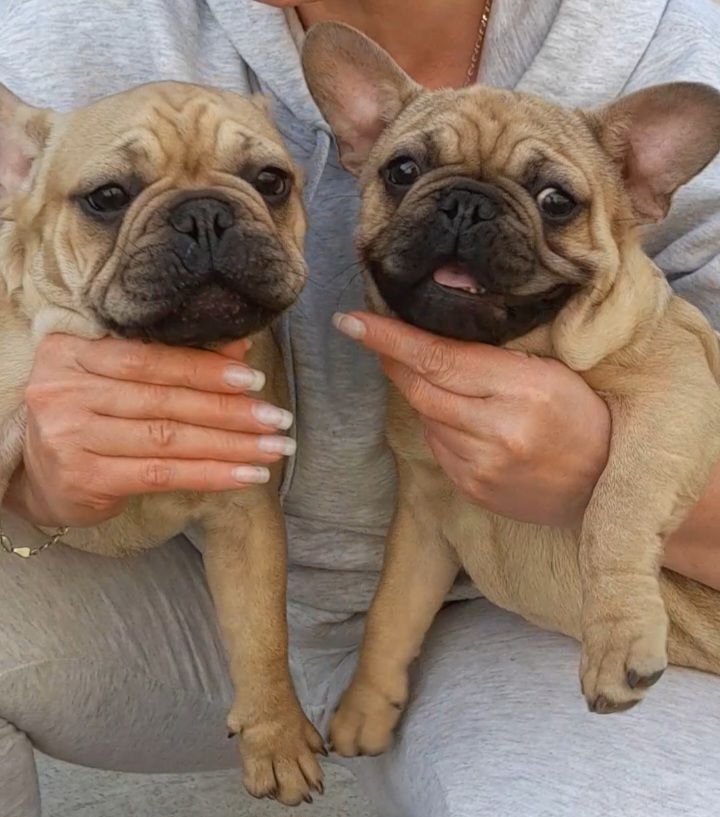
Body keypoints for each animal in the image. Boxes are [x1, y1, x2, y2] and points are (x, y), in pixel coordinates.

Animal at [0, 81, 324, 804]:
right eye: (107, 196)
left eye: (271, 181)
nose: (205, 213)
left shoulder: (245, 518)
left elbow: (262, 633)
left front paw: (276, 736)